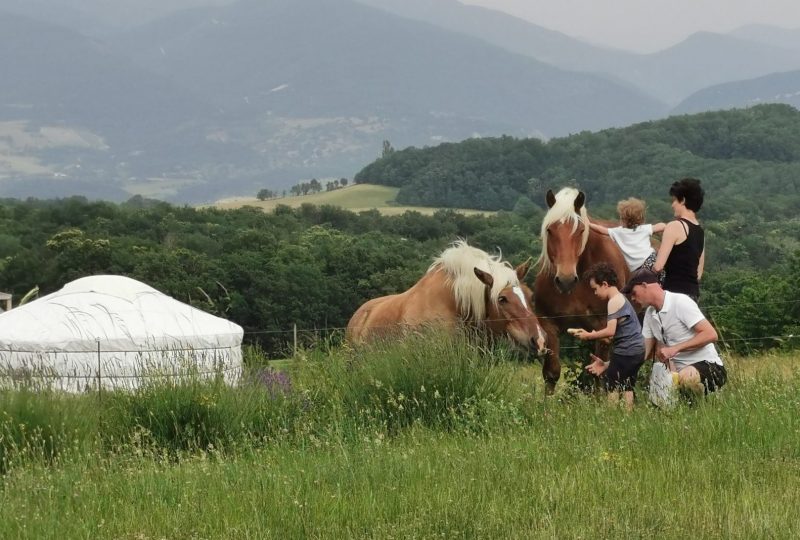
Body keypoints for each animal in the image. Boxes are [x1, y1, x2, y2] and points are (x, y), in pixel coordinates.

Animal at [532, 188, 632, 390]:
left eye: (580, 230)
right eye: (549, 230)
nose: (566, 280)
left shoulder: (603, 325)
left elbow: (599, 374)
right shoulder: (549, 324)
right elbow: (551, 373)